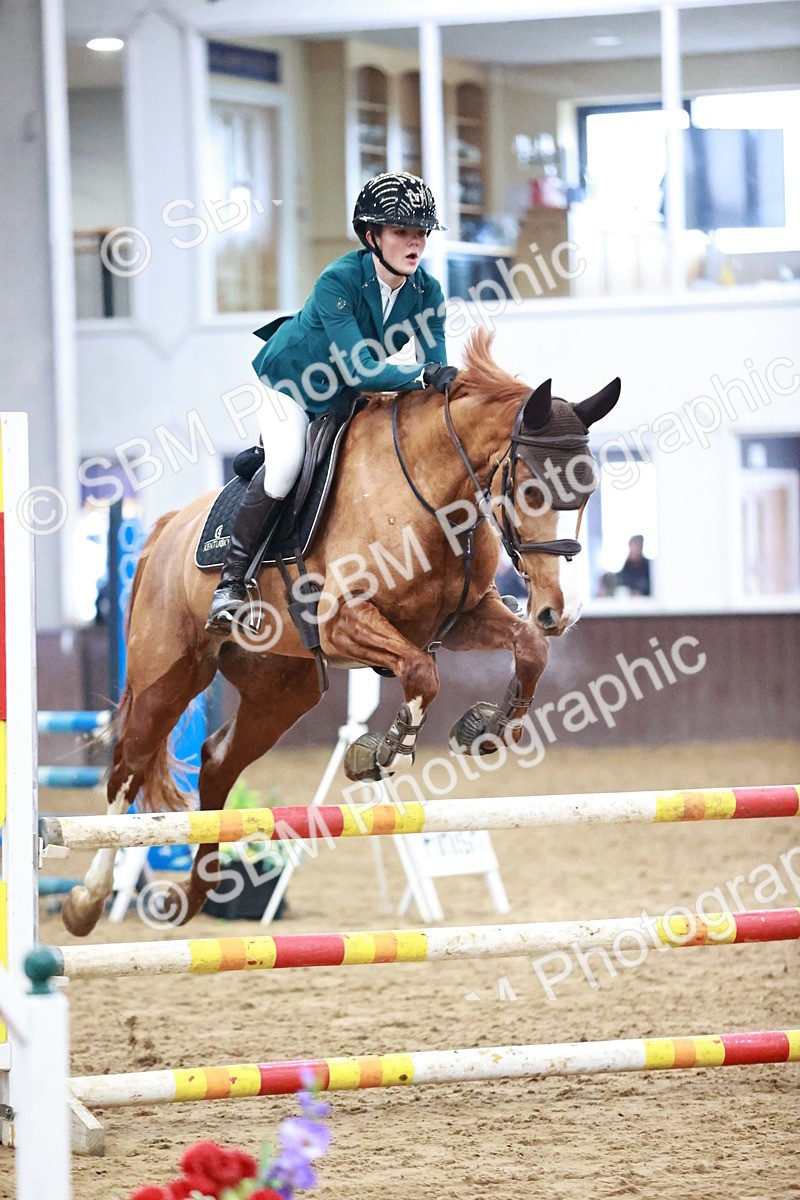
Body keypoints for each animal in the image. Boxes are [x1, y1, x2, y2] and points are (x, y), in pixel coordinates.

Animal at [62, 329, 620, 936]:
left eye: (590, 490)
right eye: (532, 490)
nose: (562, 609)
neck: (433, 493)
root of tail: (168, 527)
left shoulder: (466, 616)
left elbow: (530, 649)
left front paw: (486, 728)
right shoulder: (343, 621)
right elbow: (422, 673)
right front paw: (385, 752)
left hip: (283, 689)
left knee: (217, 761)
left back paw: (197, 892)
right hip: (168, 677)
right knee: (127, 770)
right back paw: (86, 902)